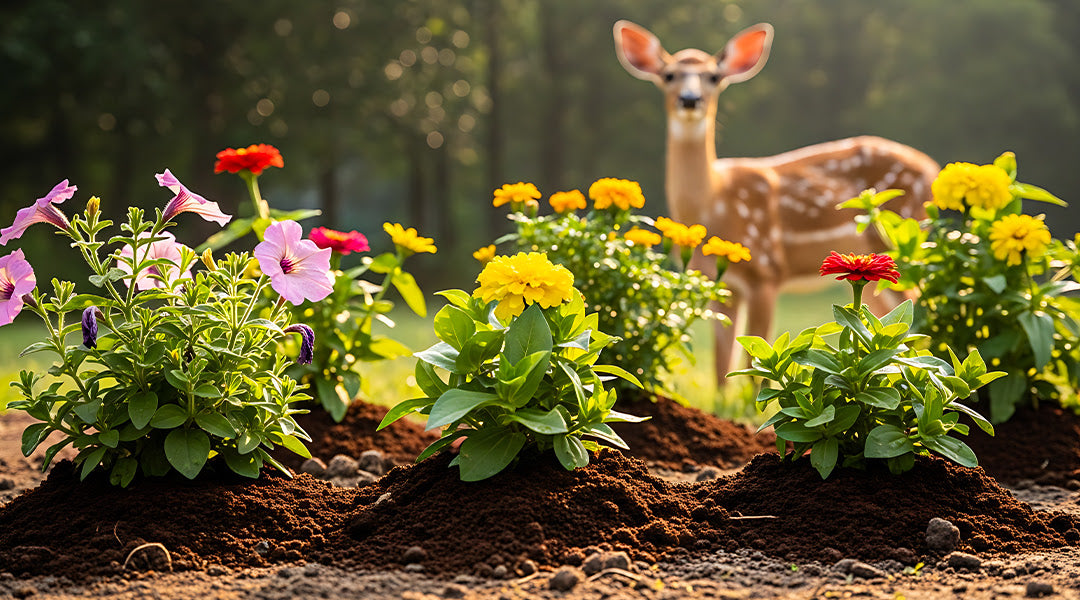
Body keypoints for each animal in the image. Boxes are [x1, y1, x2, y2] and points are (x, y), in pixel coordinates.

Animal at [613, 20, 939, 384]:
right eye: (669, 75)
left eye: (714, 76)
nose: (690, 99)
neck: (714, 203)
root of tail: (933, 169)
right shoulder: (718, 284)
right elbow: (722, 368)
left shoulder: (767, 271)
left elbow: (755, 363)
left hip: (902, 240)